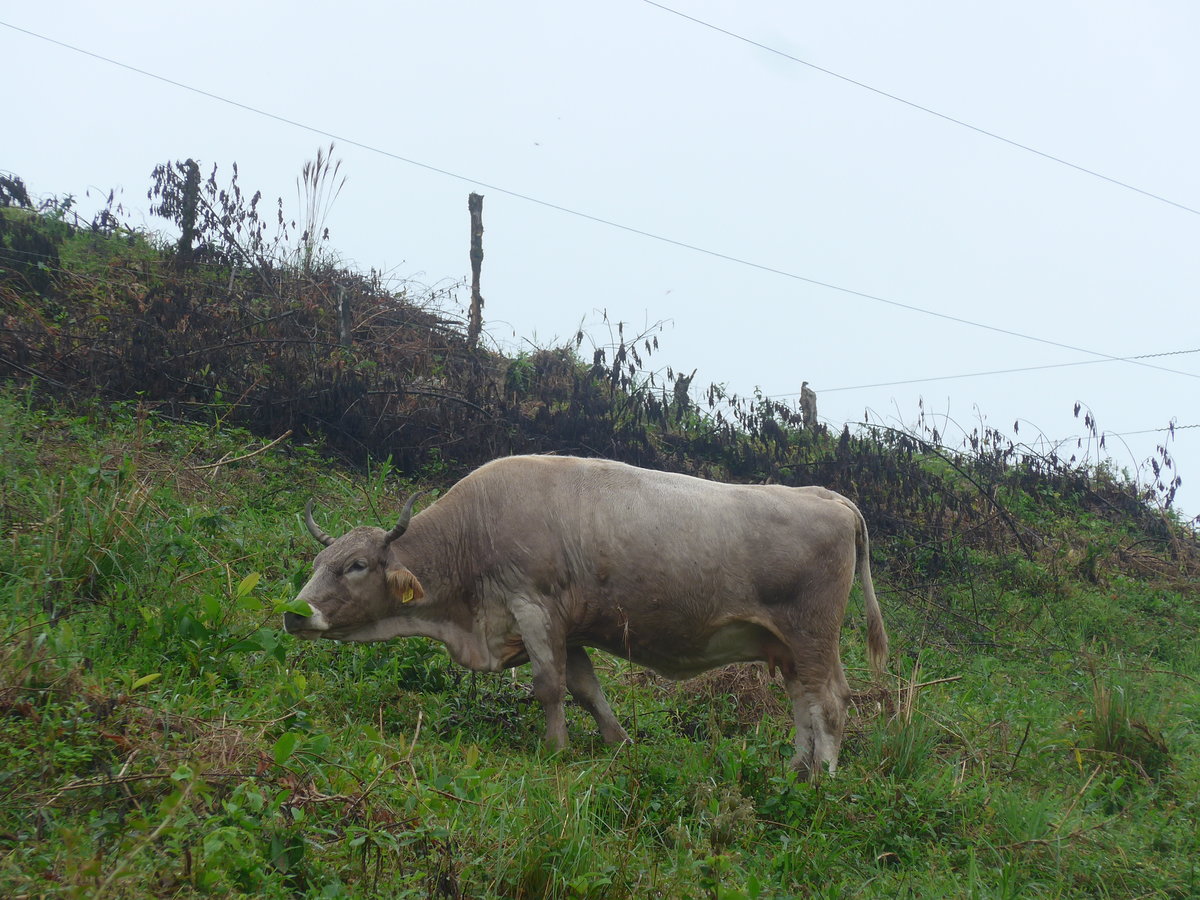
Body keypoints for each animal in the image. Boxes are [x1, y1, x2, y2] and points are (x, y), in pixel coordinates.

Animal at [284, 454, 888, 777]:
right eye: (318, 562)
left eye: (357, 565)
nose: (294, 614)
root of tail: (827, 495)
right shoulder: (564, 626)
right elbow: (585, 688)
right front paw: (620, 744)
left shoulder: (533, 605)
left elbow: (548, 686)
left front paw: (555, 750)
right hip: (789, 647)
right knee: (804, 705)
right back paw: (797, 772)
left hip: (812, 636)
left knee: (829, 704)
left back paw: (821, 782)